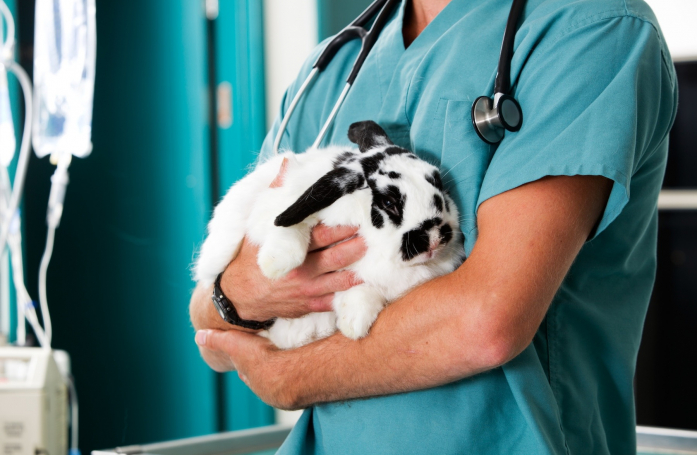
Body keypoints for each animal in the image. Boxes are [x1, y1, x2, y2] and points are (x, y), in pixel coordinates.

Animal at [194, 121, 465, 349]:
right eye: (389, 202)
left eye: (438, 182)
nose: (434, 238)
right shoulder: (279, 205)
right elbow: (290, 226)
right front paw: (276, 264)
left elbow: (362, 289)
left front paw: (354, 323)